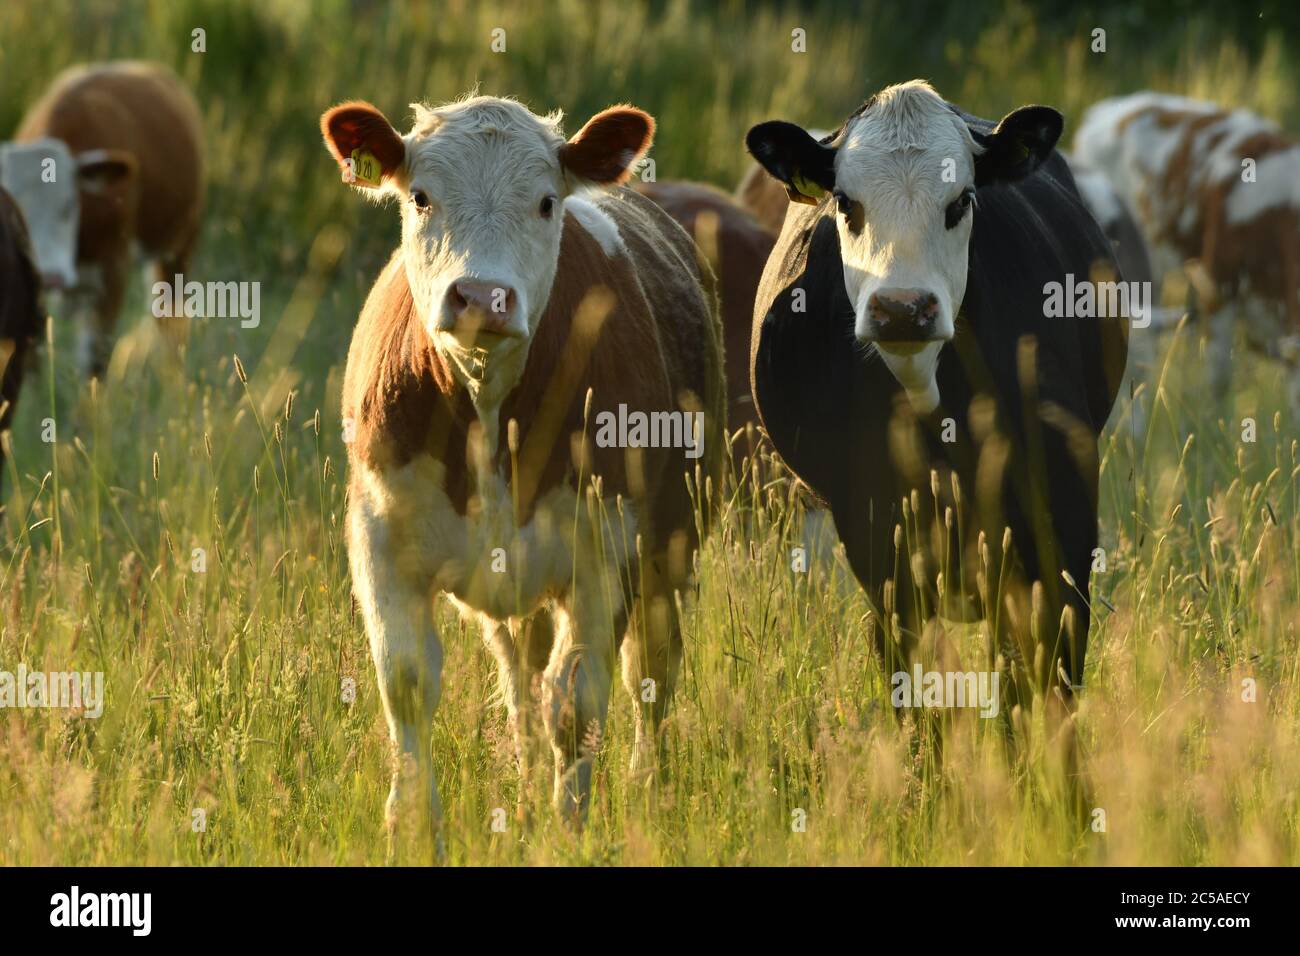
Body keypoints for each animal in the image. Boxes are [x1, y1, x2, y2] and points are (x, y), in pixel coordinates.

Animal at [319, 93, 728, 842]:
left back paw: (646, 788)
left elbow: (577, 702)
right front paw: (413, 827)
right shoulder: (379, 537)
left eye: (544, 202)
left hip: (673, 547)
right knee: (520, 677)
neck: (488, 406)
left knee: (650, 674)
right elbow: (409, 683)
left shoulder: (605, 548)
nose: (482, 296)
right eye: (420, 197)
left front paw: (569, 830)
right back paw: (530, 778)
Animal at [748, 80, 1133, 712]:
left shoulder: (1061, 519)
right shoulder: (877, 535)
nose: (902, 307)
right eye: (845, 203)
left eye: (961, 201)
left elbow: (1049, 672)